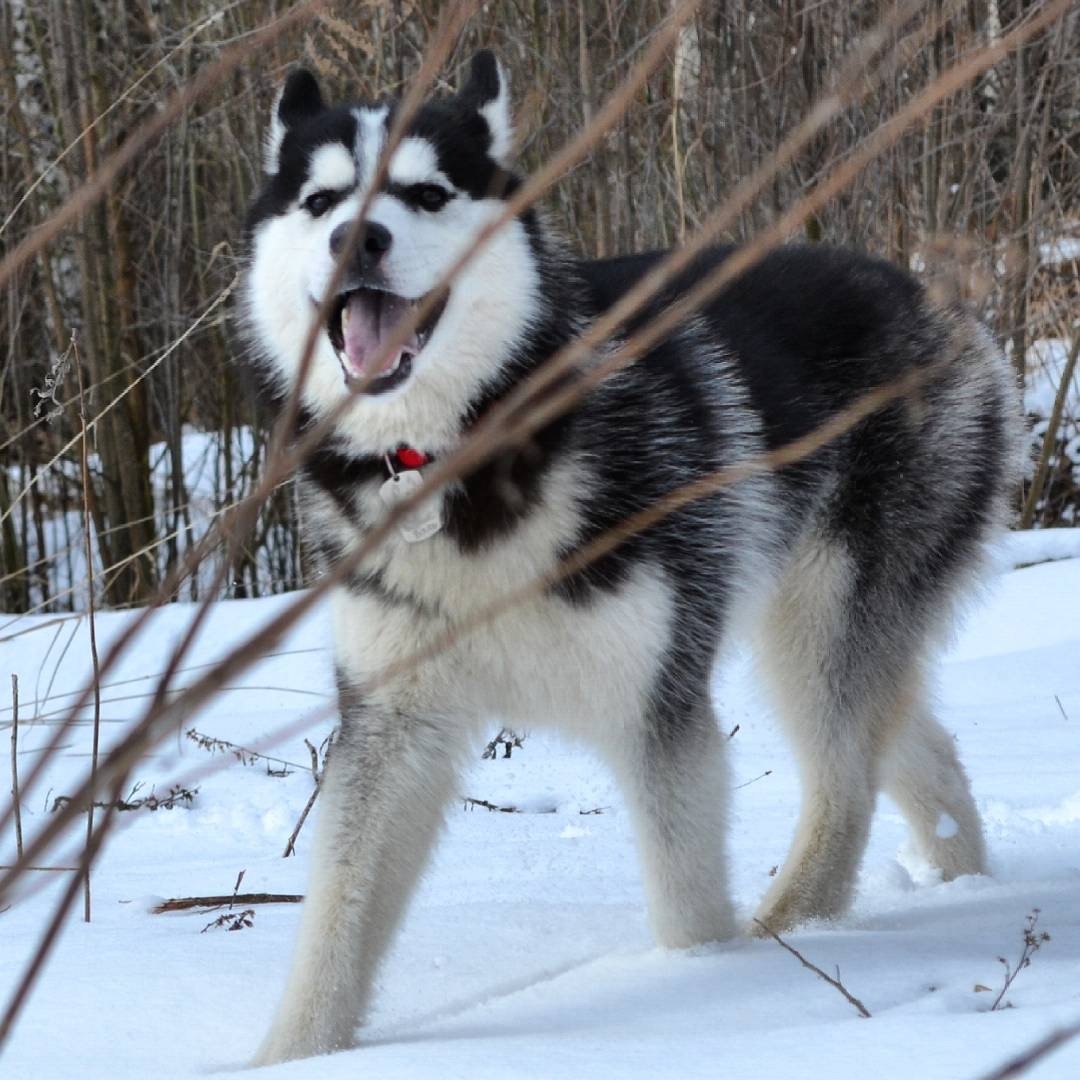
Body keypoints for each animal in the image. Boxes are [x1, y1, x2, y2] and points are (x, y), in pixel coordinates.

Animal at [243, 50, 1019, 1062]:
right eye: (322, 198)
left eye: (426, 193)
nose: (356, 240)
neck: (466, 452)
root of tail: (935, 300)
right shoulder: (391, 721)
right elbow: (337, 914)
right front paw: (288, 1056)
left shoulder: (659, 709)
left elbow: (687, 908)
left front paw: (700, 985)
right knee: (915, 747)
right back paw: (968, 882)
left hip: (822, 626)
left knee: (845, 781)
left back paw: (786, 937)